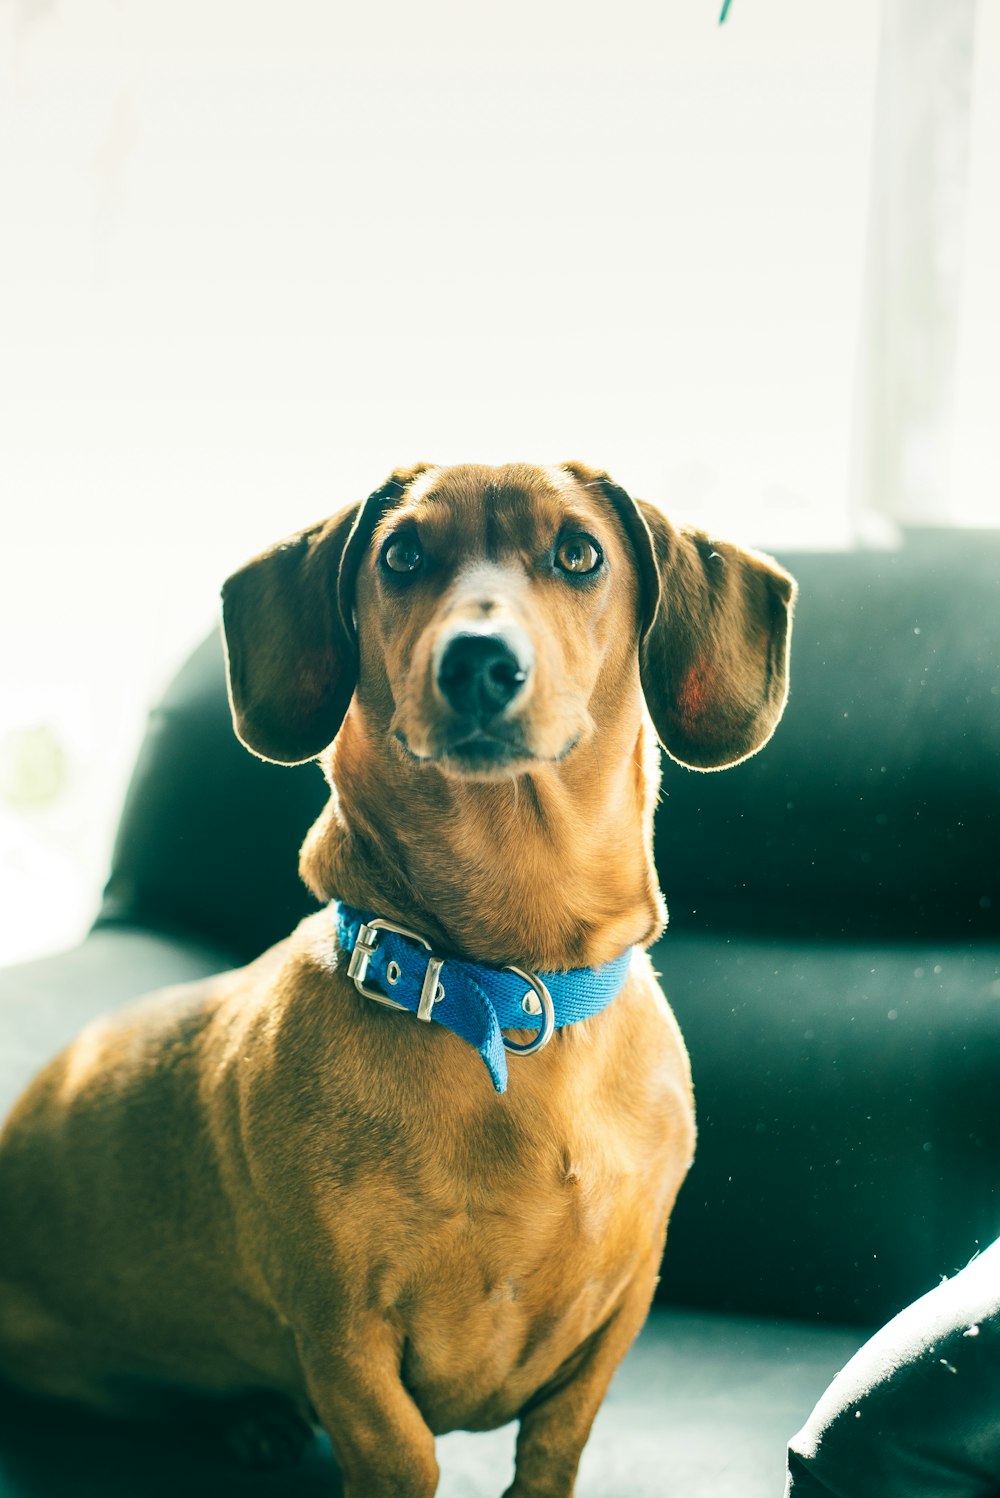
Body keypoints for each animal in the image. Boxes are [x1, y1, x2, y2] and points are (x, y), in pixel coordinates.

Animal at [0, 461, 796, 1492]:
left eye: (579, 553)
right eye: (403, 555)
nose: (479, 663)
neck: (500, 988)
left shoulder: (617, 1313)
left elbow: (555, 1442)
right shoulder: (343, 1334)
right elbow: (400, 1451)